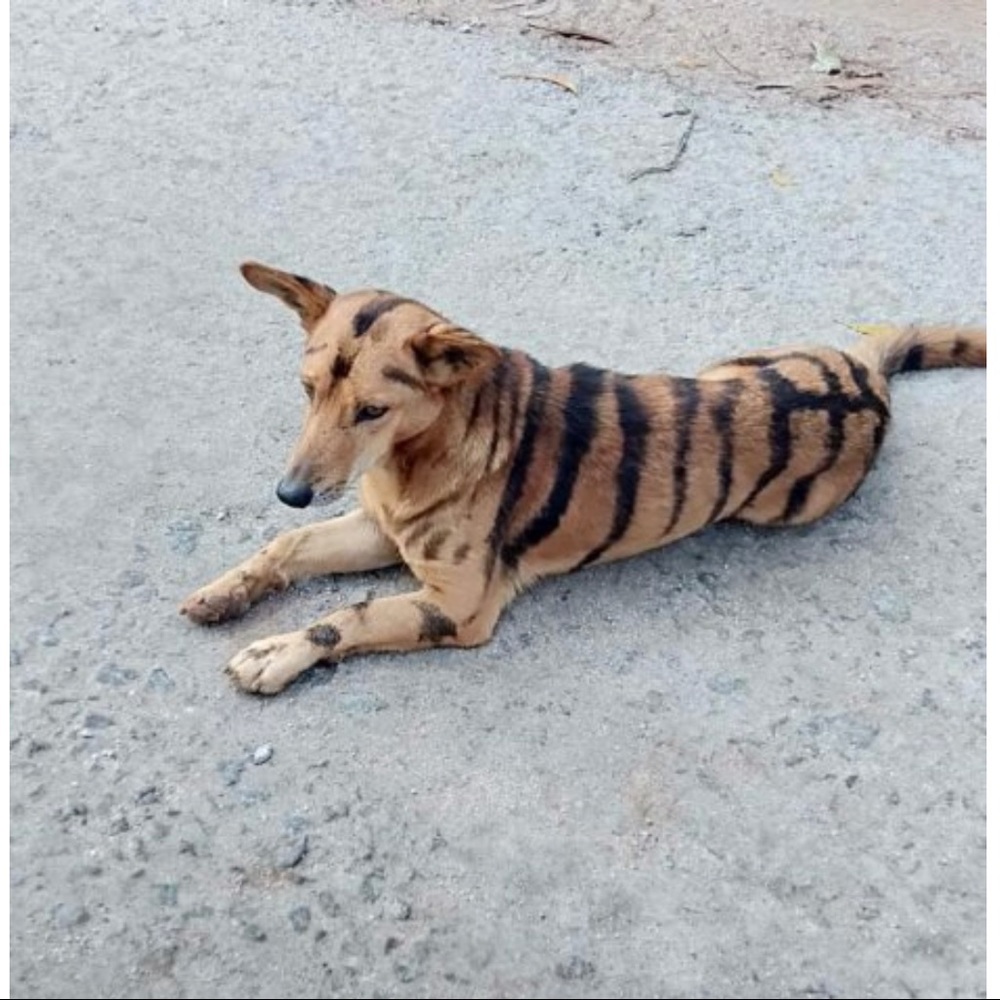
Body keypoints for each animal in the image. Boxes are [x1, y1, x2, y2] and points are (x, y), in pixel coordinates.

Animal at [180, 262, 986, 695]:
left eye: (372, 410)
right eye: (306, 389)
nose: (290, 492)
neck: (416, 453)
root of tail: (869, 376)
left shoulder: (458, 605)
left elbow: (344, 616)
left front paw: (277, 651)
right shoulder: (378, 528)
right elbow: (286, 549)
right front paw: (228, 590)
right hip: (722, 363)